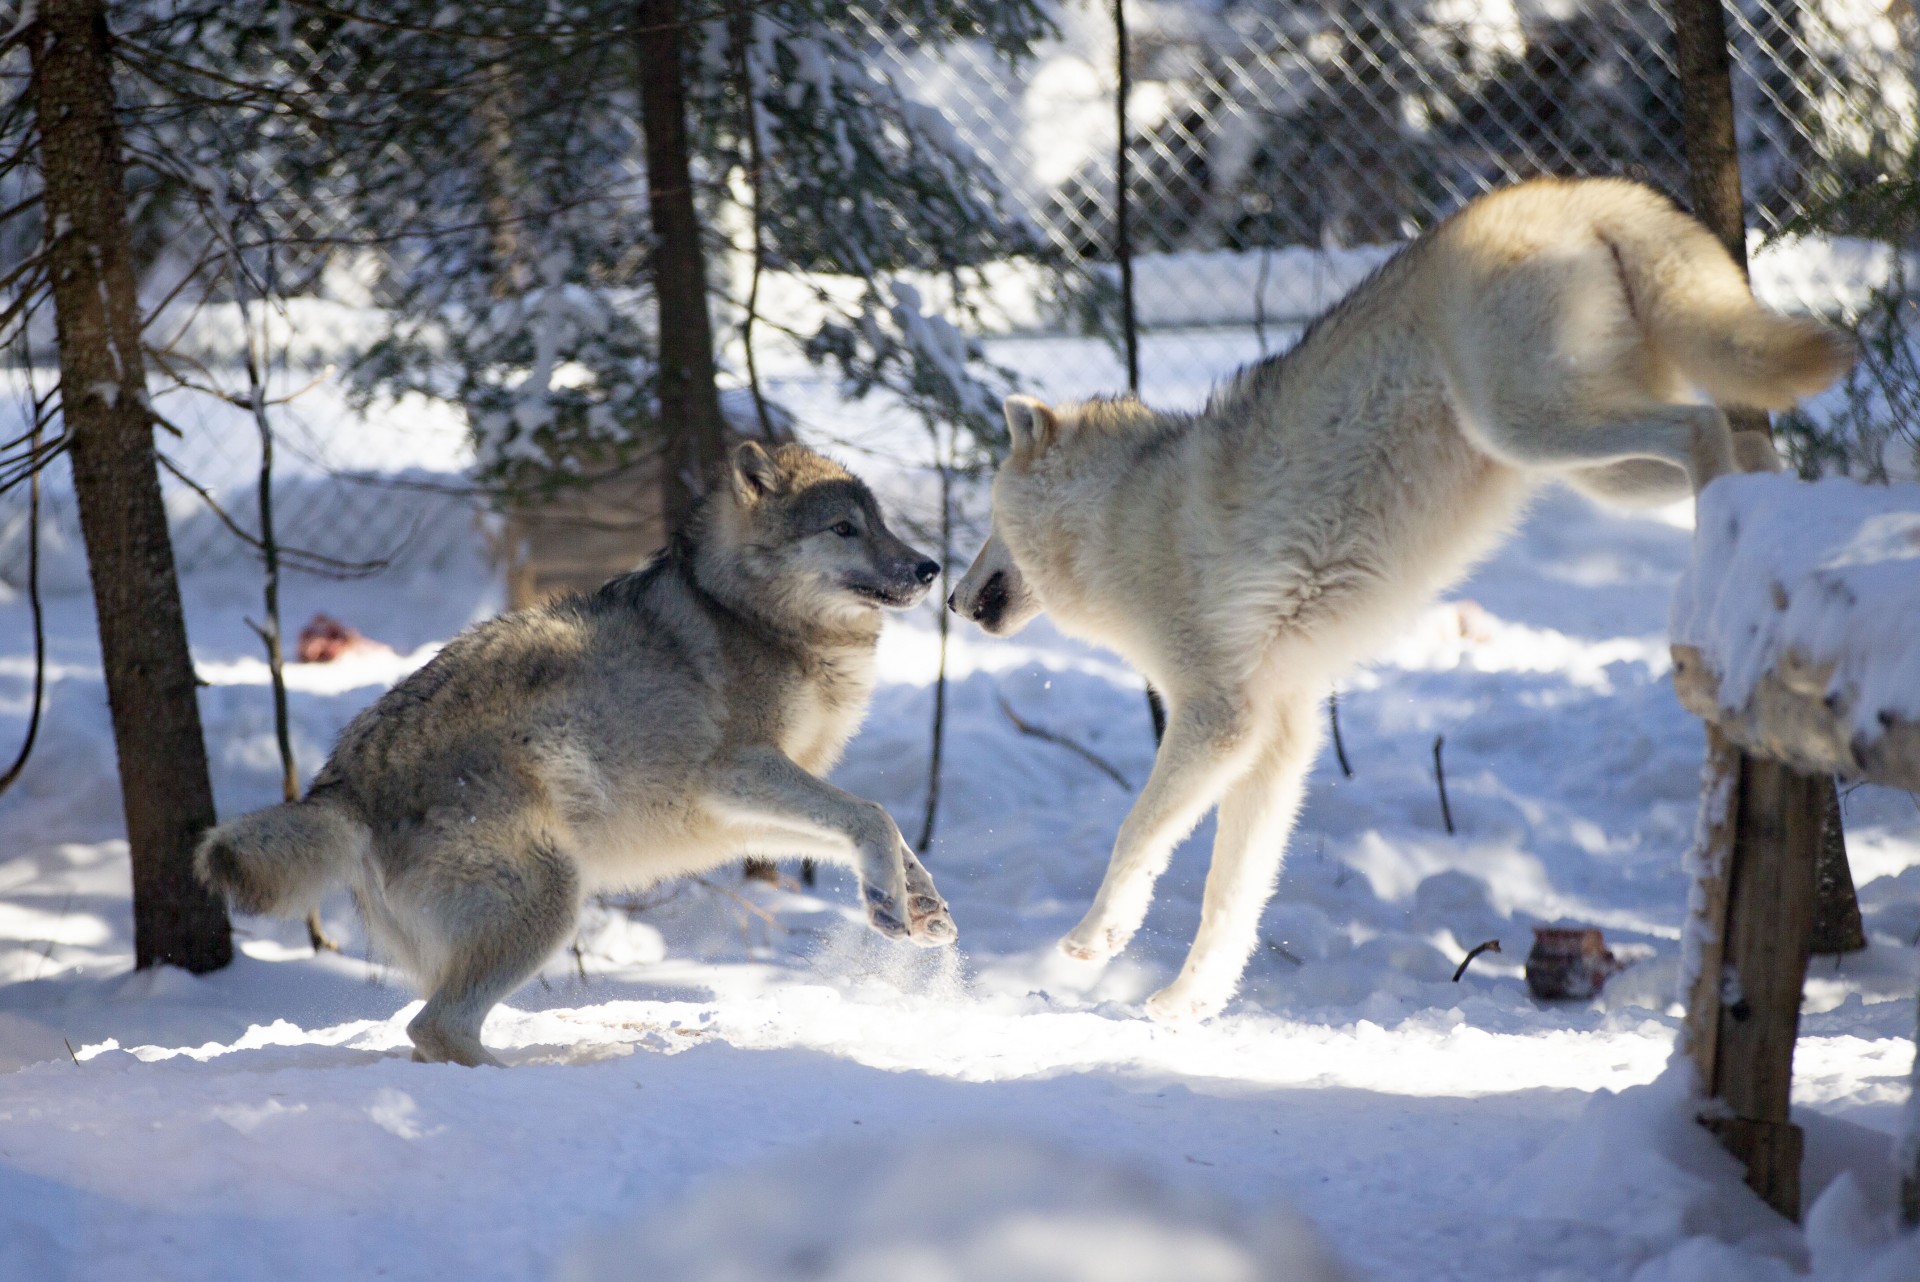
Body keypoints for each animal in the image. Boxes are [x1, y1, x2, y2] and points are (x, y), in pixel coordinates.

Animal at [198, 445, 956, 1067]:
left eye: (880, 522)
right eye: (843, 529)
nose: (930, 568)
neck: (748, 614)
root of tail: (341, 783)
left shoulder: (739, 820)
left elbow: (873, 828)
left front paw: (916, 906)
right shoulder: (736, 773)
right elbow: (872, 813)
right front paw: (892, 902)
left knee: (429, 1033)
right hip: (550, 902)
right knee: (434, 1028)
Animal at [952, 177, 1850, 1020]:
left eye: (986, 520)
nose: (954, 599)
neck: (1119, 517)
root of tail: (1571, 191)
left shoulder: (1217, 719)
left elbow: (1135, 832)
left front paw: (1095, 940)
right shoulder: (1280, 738)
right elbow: (1230, 896)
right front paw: (1187, 1006)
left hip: (1537, 428)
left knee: (1704, 429)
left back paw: (1723, 566)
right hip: (1598, 470)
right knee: (1751, 442)